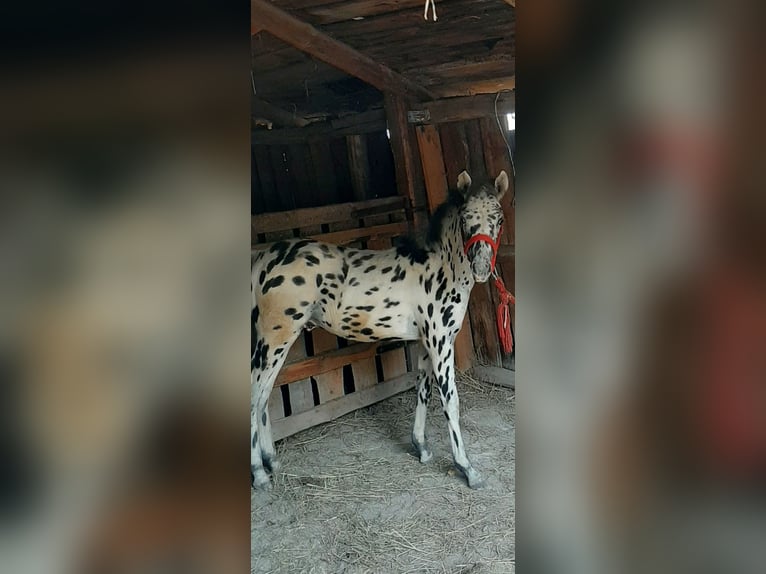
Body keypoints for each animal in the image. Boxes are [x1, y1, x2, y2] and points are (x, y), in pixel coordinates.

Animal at [254, 170, 510, 490]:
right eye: (465, 218)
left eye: (499, 218)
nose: (481, 268)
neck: (440, 267)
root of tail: (264, 260)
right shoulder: (440, 342)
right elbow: (450, 400)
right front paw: (467, 469)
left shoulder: (427, 343)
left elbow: (423, 390)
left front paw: (421, 448)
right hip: (274, 339)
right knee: (255, 396)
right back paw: (260, 474)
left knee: (264, 397)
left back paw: (272, 462)